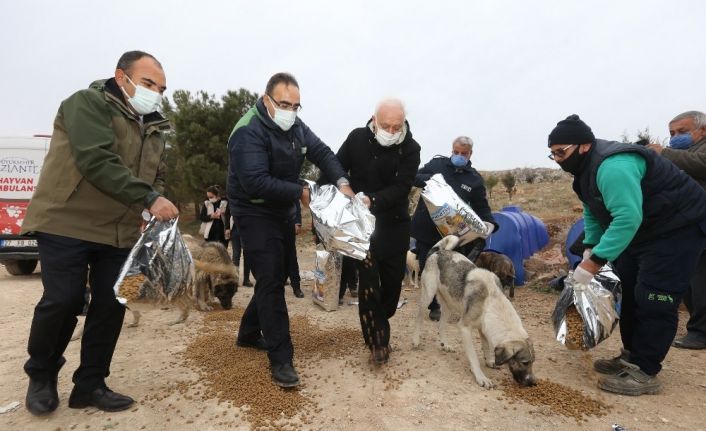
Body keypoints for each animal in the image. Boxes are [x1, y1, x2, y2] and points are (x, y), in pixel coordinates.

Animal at [410, 236, 532, 392]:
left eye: (533, 362)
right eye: (524, 362)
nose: (533, 383)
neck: (492, 300)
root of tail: (438, 252)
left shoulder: (483, 328)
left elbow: (486, 346)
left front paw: (490, 360)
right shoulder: (465, 328)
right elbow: (474, 357)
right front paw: (481, 377)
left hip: (449, 305)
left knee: (441, 325)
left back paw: (445, 344)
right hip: (428, 296)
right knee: (418, 318)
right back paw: (416, 341)